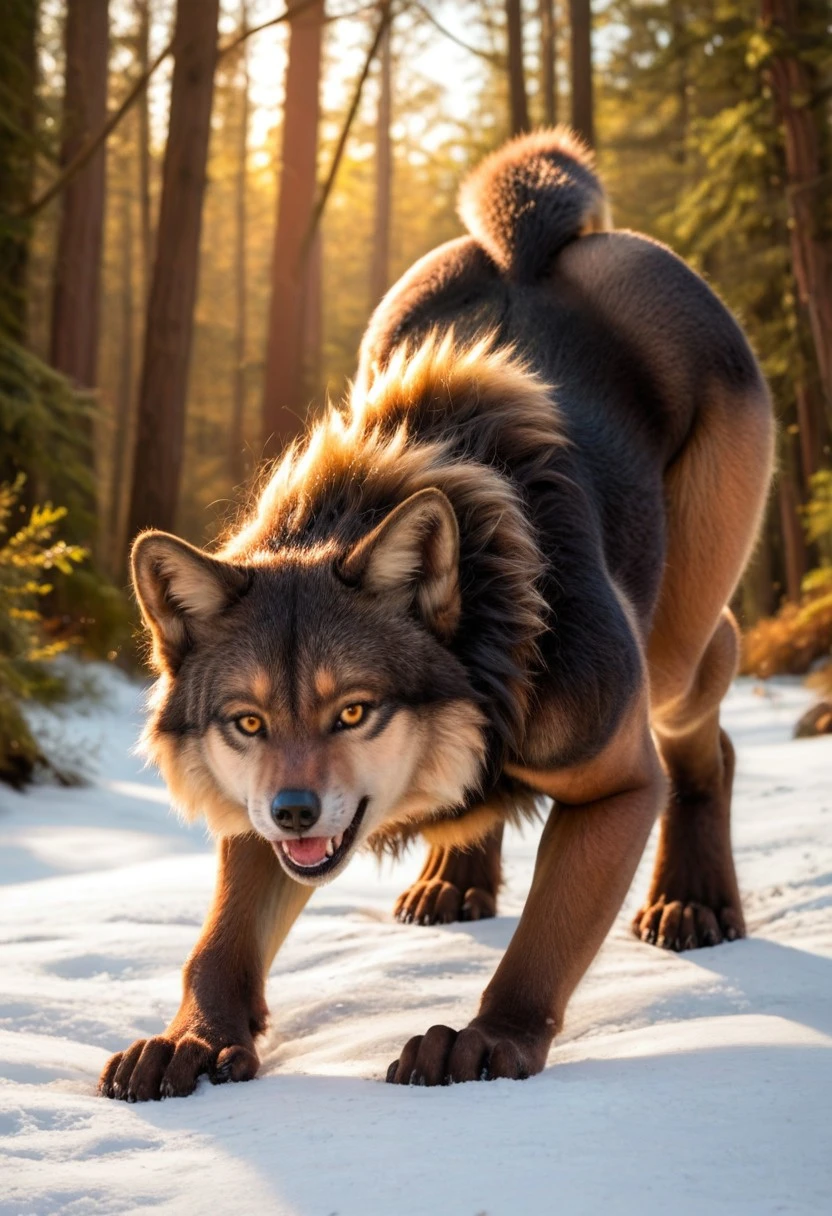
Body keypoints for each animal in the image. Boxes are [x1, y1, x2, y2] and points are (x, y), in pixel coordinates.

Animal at [100, 129, 773, 1100]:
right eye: (247, 722)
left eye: (354, 711)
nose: (295, 811)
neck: (497, 627)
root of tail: (538, 239)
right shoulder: (257, 816)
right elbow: (220, 945)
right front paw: (192, 1039)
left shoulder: (615, 784)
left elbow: (542, 949)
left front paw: (488, 1041)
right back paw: (455, 881)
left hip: (679, 641)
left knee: (708, 715)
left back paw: (694, 898)